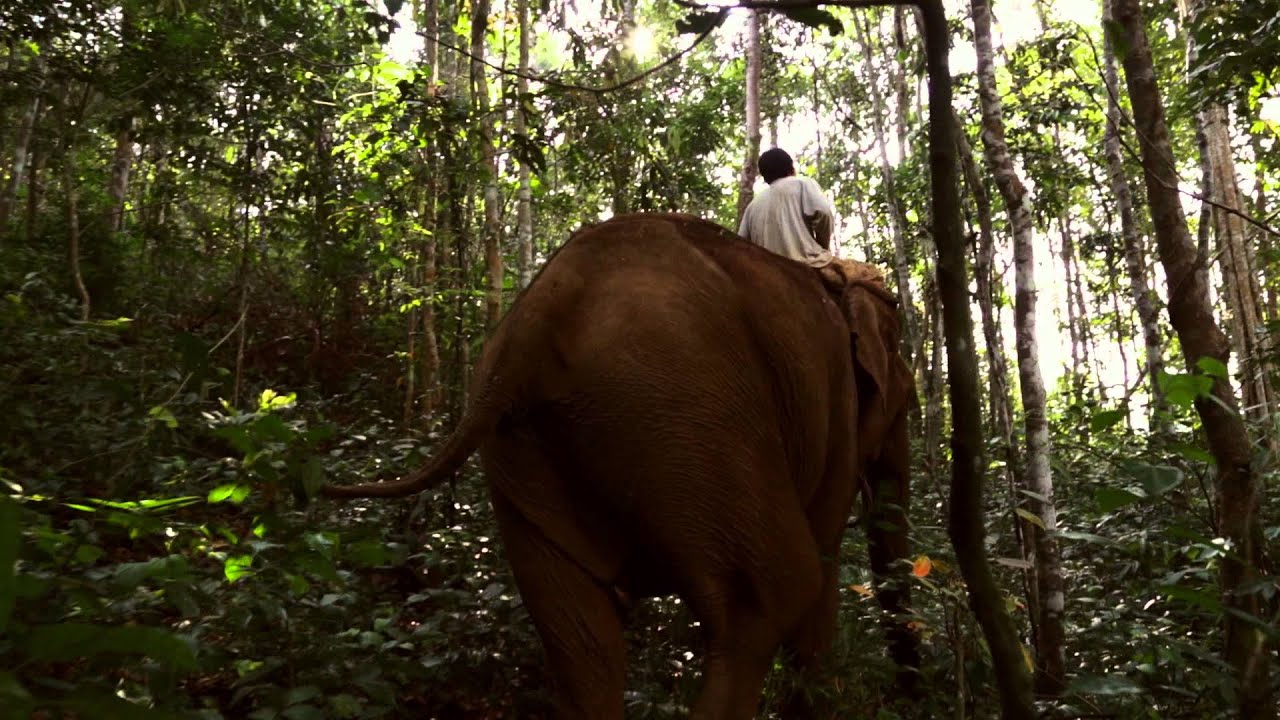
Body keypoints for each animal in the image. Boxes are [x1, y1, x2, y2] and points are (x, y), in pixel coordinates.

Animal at [323, 212, 918, 719]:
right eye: (903, 392)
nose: (909, 690)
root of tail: (533, 322)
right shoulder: (836, 415)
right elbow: (821, 571)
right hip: (688, 412)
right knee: (772, 594)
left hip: (532, 455)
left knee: (578, 635)